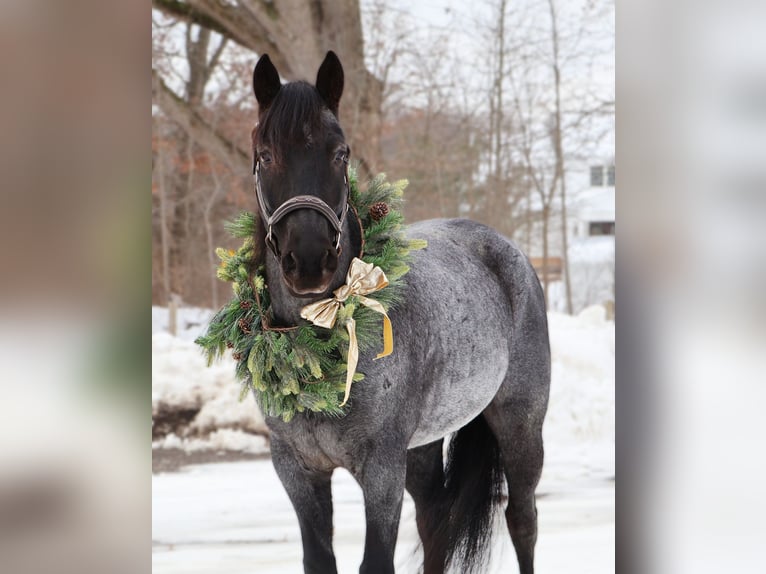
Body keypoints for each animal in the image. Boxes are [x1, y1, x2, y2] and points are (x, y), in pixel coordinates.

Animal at [249, 51, 550, 574]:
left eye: (341, 152)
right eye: (265, 154)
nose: (307, 261)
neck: (318, 347)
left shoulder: (381, 470)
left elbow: (377, 561)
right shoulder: (297, 469)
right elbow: (319, 558)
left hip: (521, 426)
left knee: (522, 520)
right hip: (423, 449)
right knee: (435, 521)